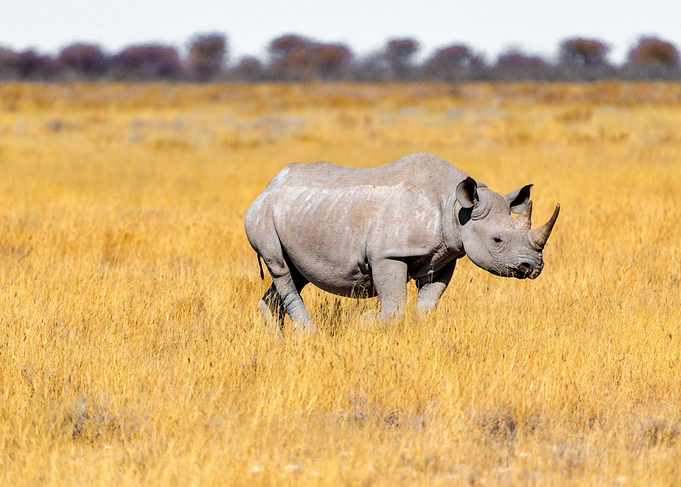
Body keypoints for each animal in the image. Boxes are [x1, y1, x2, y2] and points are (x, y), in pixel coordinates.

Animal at [245, 152, 559, 334]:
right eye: (497, 240)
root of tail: (268, 186)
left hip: (301, 213)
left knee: (296, 273)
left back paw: (276, 338)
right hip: (262, 215)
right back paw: (309, 335)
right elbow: (394, 309)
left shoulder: (445, 255)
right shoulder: (388, 254)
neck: (456, 208)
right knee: (281, 268)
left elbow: (427, 306)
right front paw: (364, 323)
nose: (532, 267)